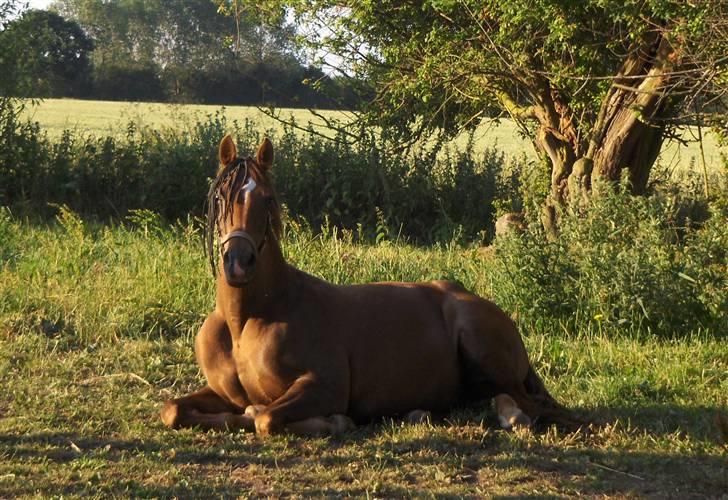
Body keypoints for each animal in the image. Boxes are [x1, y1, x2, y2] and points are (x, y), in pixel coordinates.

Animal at [161, 135, 580, 436]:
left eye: (267, 198)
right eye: (220, 197)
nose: (238, 262)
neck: (249, 318)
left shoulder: (325, 386)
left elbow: (264, 418)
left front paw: (335, 422)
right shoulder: (222, 394)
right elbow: (172, 410)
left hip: (481, 346)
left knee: (529, 405)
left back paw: (511, 418)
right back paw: (422, 413)